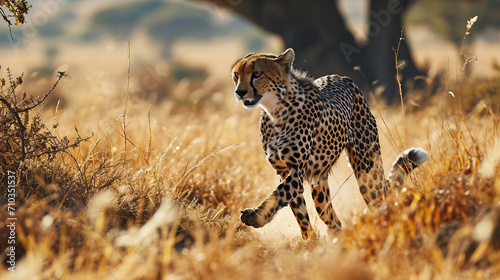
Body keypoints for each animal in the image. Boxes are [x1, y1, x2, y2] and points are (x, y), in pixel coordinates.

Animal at [232, 47, 428, 238]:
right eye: (236, 75)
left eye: (257, 74)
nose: (239, 92)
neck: (274, 111)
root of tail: (342, 77)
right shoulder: (283, 170)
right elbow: (297, 210)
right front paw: (309, 241)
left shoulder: (297, 170)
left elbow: (279, 193)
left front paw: (255, 216)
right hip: (320, 185)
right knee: (333, 220)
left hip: (367, 174)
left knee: (382, 195)